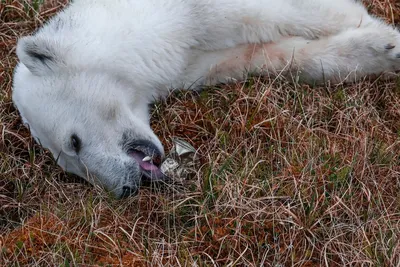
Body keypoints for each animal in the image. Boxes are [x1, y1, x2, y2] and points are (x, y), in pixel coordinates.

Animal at [11, 0, 400, 198]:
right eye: (71, 168)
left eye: (73, 142)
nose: (124, 188)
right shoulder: (193, 60)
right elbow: (266, 54)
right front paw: (377, 51)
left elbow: (301, 13)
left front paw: (386, 39)